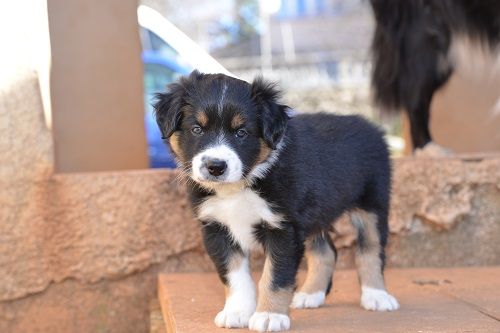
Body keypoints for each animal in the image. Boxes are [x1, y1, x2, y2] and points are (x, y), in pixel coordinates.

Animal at [153, 70, 398, 330]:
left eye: (241, 132)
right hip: (314, 213)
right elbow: (234, 275)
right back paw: (311, 294)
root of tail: (370, 127)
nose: (216, 167)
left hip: (372, 206)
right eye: (197, 129)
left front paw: (270, 316)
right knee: (326, 252)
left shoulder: (284, 228)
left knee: (370, 250)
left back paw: (377, 296)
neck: (240, 187)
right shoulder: (216, 228)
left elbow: (275, 276)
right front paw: (237, 311)